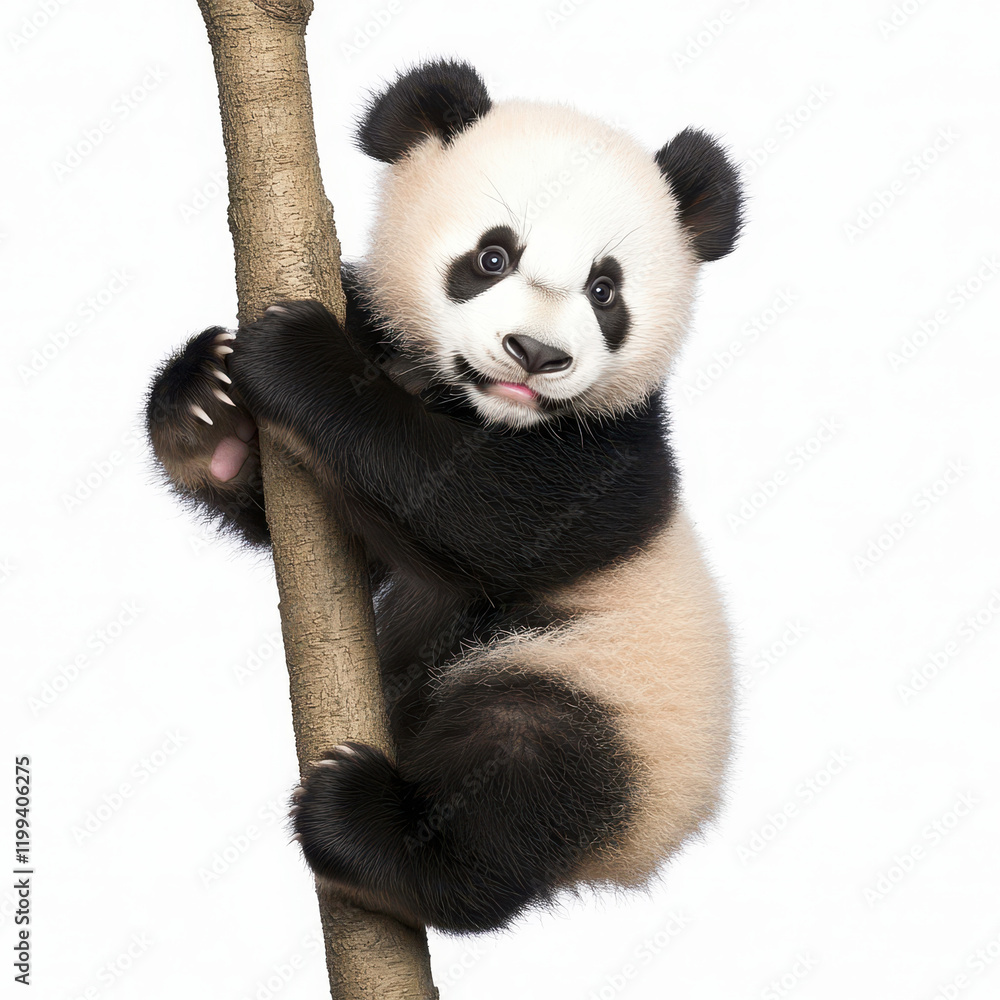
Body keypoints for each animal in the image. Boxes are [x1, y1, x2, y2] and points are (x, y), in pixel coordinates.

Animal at [146, 60, 742, 934]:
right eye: (492, 257)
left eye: (605, 291)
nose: (535, 354)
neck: (474, 404)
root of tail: (632, 858)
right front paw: (207, 403)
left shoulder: (617, 455)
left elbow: (496, 512)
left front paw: (295, 360)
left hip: (620, 693)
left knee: (525, 765)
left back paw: (370, 830)